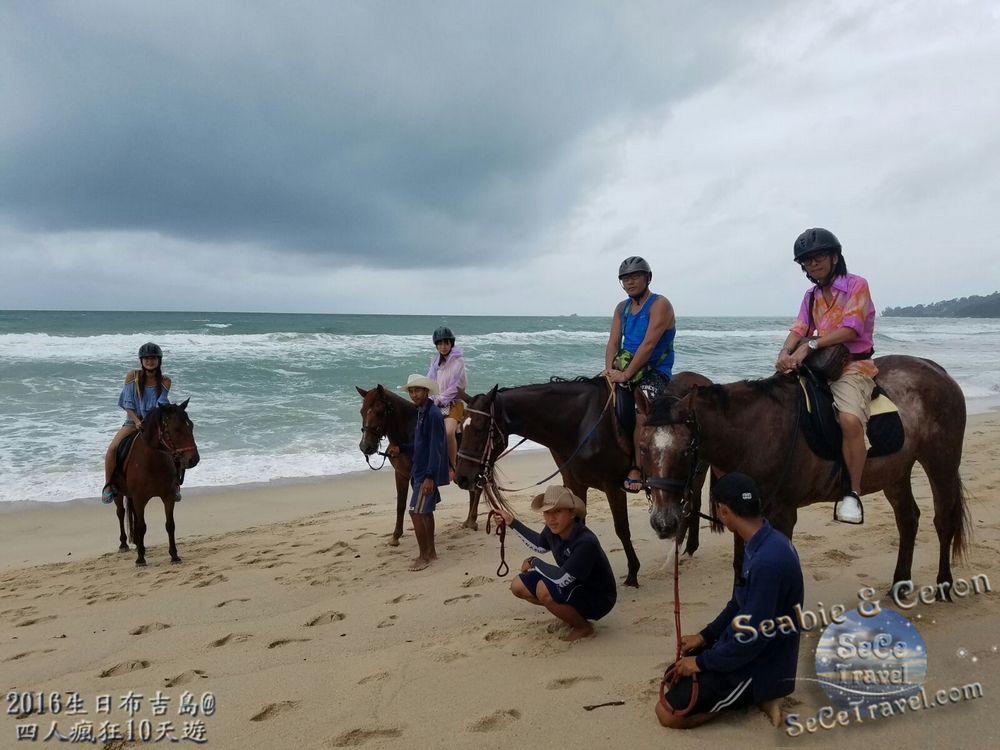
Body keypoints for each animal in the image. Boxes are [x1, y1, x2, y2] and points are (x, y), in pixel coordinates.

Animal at [111, 402, 199, 568]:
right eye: (176, 429)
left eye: (191, 425)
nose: (194, 460)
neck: (152, 461)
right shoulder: (139, 499)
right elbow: (141, 526)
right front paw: (140, 558)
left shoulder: (168, 496)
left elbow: (170, 524)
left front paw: (174, 555)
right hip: (119, 494)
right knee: (120, 513)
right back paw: (124, 544)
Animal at [358, 384, 486, 544]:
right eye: (362, 412)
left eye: (379, 412)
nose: (366, 447)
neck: (408, 434)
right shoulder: (401, 474)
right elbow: (400, 505)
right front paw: (395, 536)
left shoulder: (418, 478)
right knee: (472, 490)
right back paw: (468, 521)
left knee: (478, 490)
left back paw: (473, 521)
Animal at [454, 374, 712, 592]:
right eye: (460, 430)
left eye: (480, 429)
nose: (461, 478)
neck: (579, 426)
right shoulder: (574, 484)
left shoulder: (613, 487)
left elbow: (622, 529)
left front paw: (632, 573)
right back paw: (689, 548)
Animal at [636, 358, 972, 600]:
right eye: (642, 448)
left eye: (686, 450)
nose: (664, 522)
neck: (751, 434)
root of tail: (937, 371)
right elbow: (740, 566)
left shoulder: (783, 514)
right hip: (896, 473)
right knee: (908, 519)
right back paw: (900, 582)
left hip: (940, 463)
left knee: (943, 520)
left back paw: (944, 584)